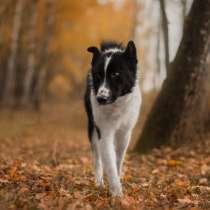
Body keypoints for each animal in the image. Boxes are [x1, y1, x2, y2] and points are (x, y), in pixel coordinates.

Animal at [83, 41, 141, 197]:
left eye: (115, 74)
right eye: (98, 75)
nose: (101, 99)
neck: (116, 106)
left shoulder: (125, 133)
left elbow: (118, 160)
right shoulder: (104, 133)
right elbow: (109, 162)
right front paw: (116, 193)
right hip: (92, 129)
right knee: (97, 158)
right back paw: (99, 183)